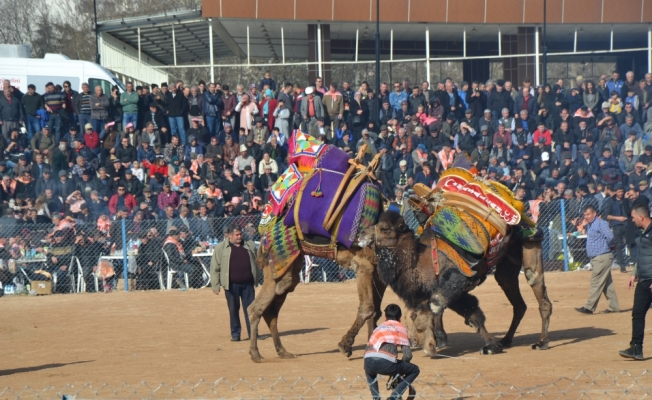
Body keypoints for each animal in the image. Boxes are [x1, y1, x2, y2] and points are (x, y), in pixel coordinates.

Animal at [360, 167, 552, 354]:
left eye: (384, 229)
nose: (362, 233)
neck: (422, 262)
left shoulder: (457, 281)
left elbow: (439, 306)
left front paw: (439, 342)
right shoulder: (448, 292)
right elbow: (470, 313)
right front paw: (490, 344)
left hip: (530, 245)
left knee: (537, 286)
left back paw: (541, 342)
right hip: (508, 262)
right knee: (516, 298)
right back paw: (506, 340)